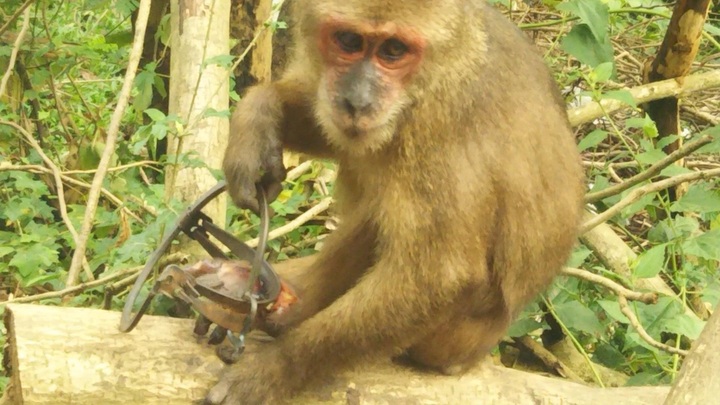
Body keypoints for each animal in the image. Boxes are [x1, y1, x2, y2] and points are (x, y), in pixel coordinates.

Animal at [209, 0, 585, 403]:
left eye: (393, 50)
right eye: (348, 41)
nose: (357, 101)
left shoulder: (437, 124)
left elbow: (442, 276)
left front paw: (280, 367)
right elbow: (328, 125)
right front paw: (257, 120)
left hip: (453, 340)